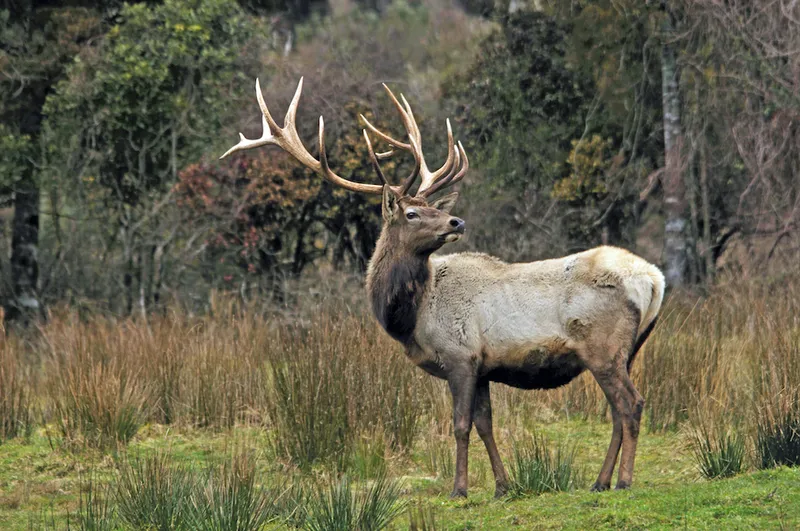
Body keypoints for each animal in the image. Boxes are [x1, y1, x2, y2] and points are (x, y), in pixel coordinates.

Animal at [221, 78, 665, 498]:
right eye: (413, 212)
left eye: (433, 208)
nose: (457, 222)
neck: (412, 317)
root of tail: (654, 279)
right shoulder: (483, 366)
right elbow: (485, 425)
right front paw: (503, 487)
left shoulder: (459, 355)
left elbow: (460, 425)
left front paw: (459, 488)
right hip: (626, 351)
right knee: (616, 412)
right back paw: (600, 481)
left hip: (602, 346)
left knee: (631, 405)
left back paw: (623, 481)